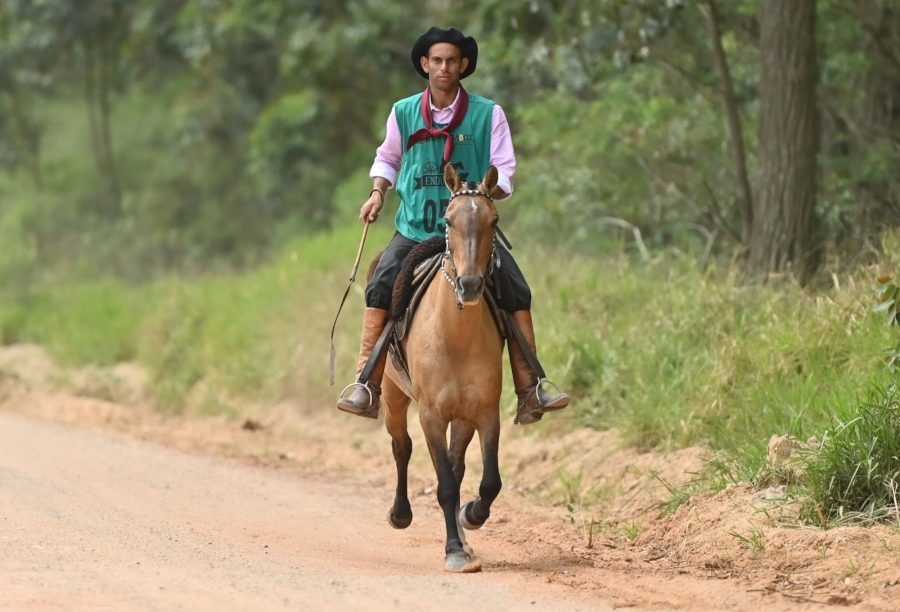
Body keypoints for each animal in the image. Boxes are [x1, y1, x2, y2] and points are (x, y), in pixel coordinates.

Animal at [381, 162, 504, 573]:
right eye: (448, 220)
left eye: (494, 221)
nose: (469, 285)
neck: (456, 339)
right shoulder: (431, 415)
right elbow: (445, 484)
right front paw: (454, 550)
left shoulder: (484, 412)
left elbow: (487, 481)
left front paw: (471, 517)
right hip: (392, 396)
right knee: (401, 446)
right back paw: (400, 514)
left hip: (461, 417)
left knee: (456, 464)